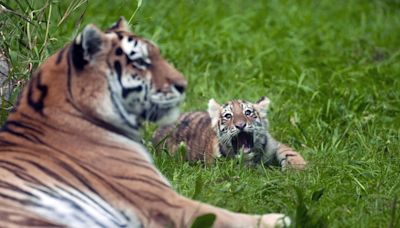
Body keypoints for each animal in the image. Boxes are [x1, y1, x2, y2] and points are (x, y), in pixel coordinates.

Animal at [153, 96, 306, 169]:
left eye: (248, 112)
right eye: (228, 116)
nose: (240, 125)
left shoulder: (274, 143)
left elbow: (290, 153)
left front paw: (298, 170)